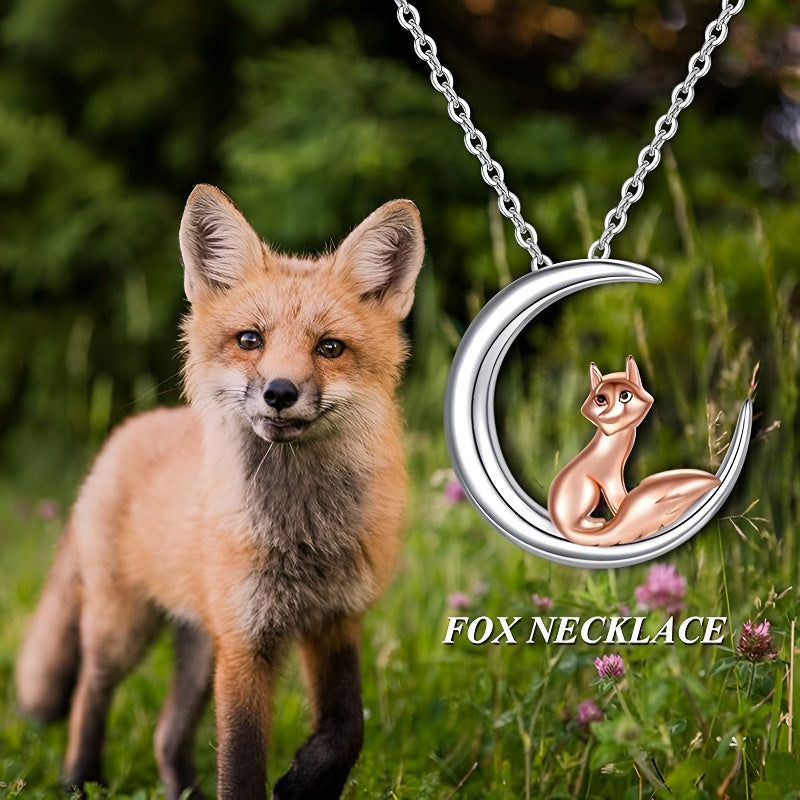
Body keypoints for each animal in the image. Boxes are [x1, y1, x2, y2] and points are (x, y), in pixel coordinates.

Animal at [15, 184, 425, 800]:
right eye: (250, 340)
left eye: (330, 348)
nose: (280, 392)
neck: (301, 536)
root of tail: (124, 434)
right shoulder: (245, 641)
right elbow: (240, 760)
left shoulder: (333, 620)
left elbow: (348, 727)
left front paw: (306, 783)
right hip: (123, 626)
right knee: (90, 691)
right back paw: (80, 781)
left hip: (198, 643)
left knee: (164, 734)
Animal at [547, 356, 720, 546]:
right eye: (600, 399)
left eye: (625, 396)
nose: (607, 416)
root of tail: (558, 520)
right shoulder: (608, 477)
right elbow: (620, 502)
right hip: (589, 489)